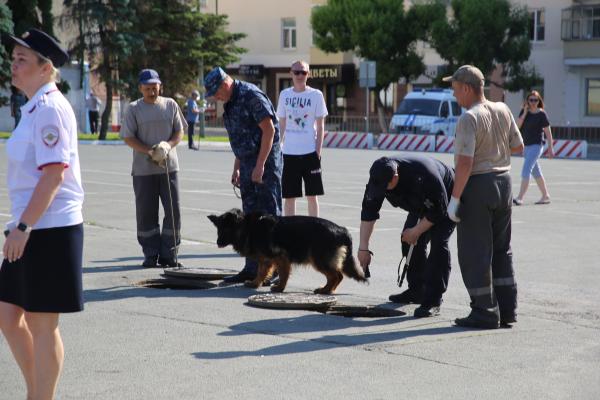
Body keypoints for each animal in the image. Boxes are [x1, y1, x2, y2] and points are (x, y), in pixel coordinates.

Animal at [206, 209, 368, 294]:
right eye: (218, 229)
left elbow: (283, 274)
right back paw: (328, 290)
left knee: (336, 275)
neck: (249, 227)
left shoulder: (281, 258)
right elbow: (261, 272)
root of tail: (342, 230)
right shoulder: (266, 260)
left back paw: (325, 290)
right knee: (336, 276)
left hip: (318, 260)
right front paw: (255, 283)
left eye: (226, 229)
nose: (218, 243)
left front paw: (279, 288)